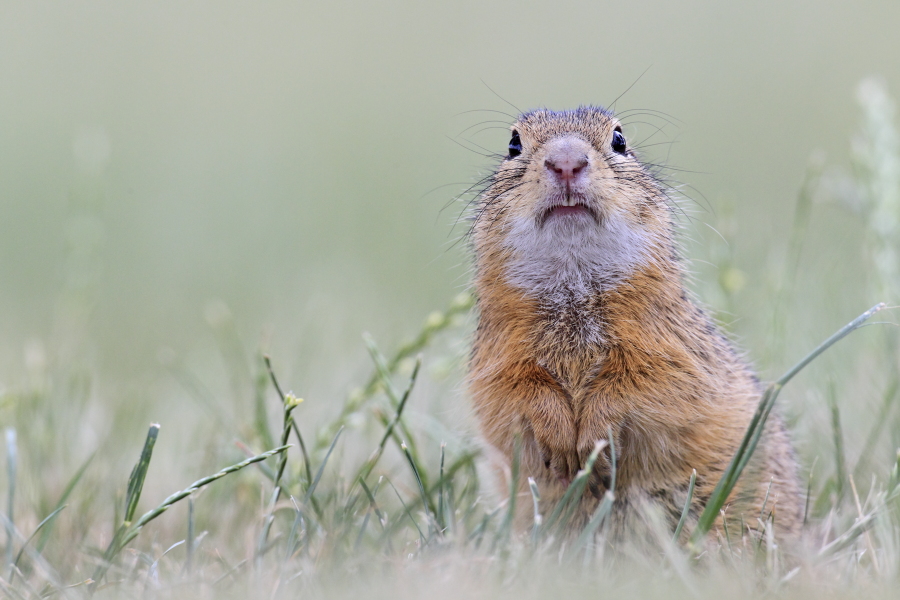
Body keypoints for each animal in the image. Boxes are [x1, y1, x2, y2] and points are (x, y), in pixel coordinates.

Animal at [467, 106, 803, 543]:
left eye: (619, 140)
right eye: (513, 144)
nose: (566, 162)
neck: (573, 287)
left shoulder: (673, 350)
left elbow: (648, 388)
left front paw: (596, 440)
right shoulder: (495, 360)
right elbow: (510, 397)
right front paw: (559, 442)